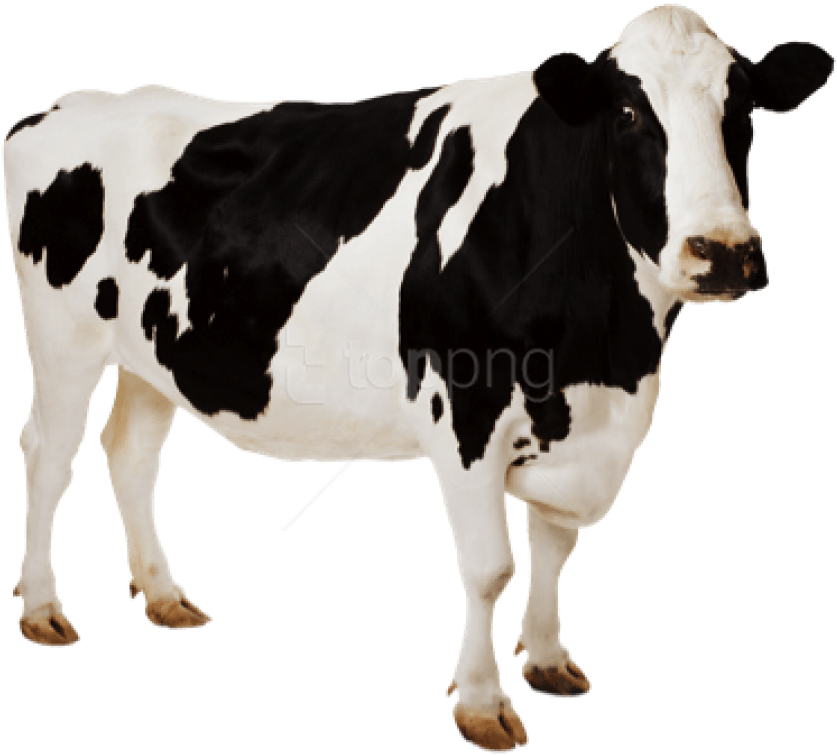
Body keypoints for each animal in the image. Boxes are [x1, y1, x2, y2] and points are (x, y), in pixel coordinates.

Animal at [3, 3, 832, 751]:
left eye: (741, 110)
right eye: (628, 113)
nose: (724, 252)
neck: (607, 353)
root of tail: (60, 107)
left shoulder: (581, 426)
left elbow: (554, 544)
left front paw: (548, 659)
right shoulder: (466, 410)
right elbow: (491, 566)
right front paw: (482, 703)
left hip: (153, 354)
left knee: (131, 455)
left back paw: (164, 592)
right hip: (63, 340)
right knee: (49, 456)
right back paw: (41, 605)